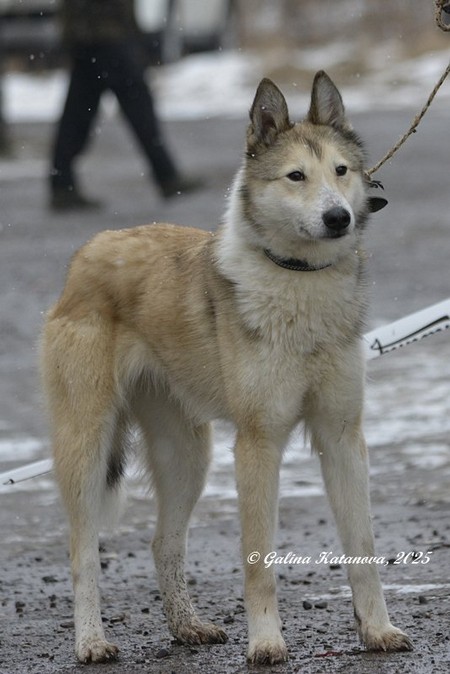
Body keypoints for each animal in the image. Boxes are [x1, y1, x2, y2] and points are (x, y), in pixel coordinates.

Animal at [41, 71, 411, 665]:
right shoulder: (258, 442)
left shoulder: (342, 436)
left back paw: (188, 627)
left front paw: (377, 631)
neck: (299, 282)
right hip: (87, 446)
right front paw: (265, 643)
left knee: (163, 542)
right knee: (82, 552)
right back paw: (92, 641)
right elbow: (259, 558)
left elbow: (363, 546)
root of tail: (88, 253)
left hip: (188, 454)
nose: (340, 217)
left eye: (341, 171)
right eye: (295, 176)